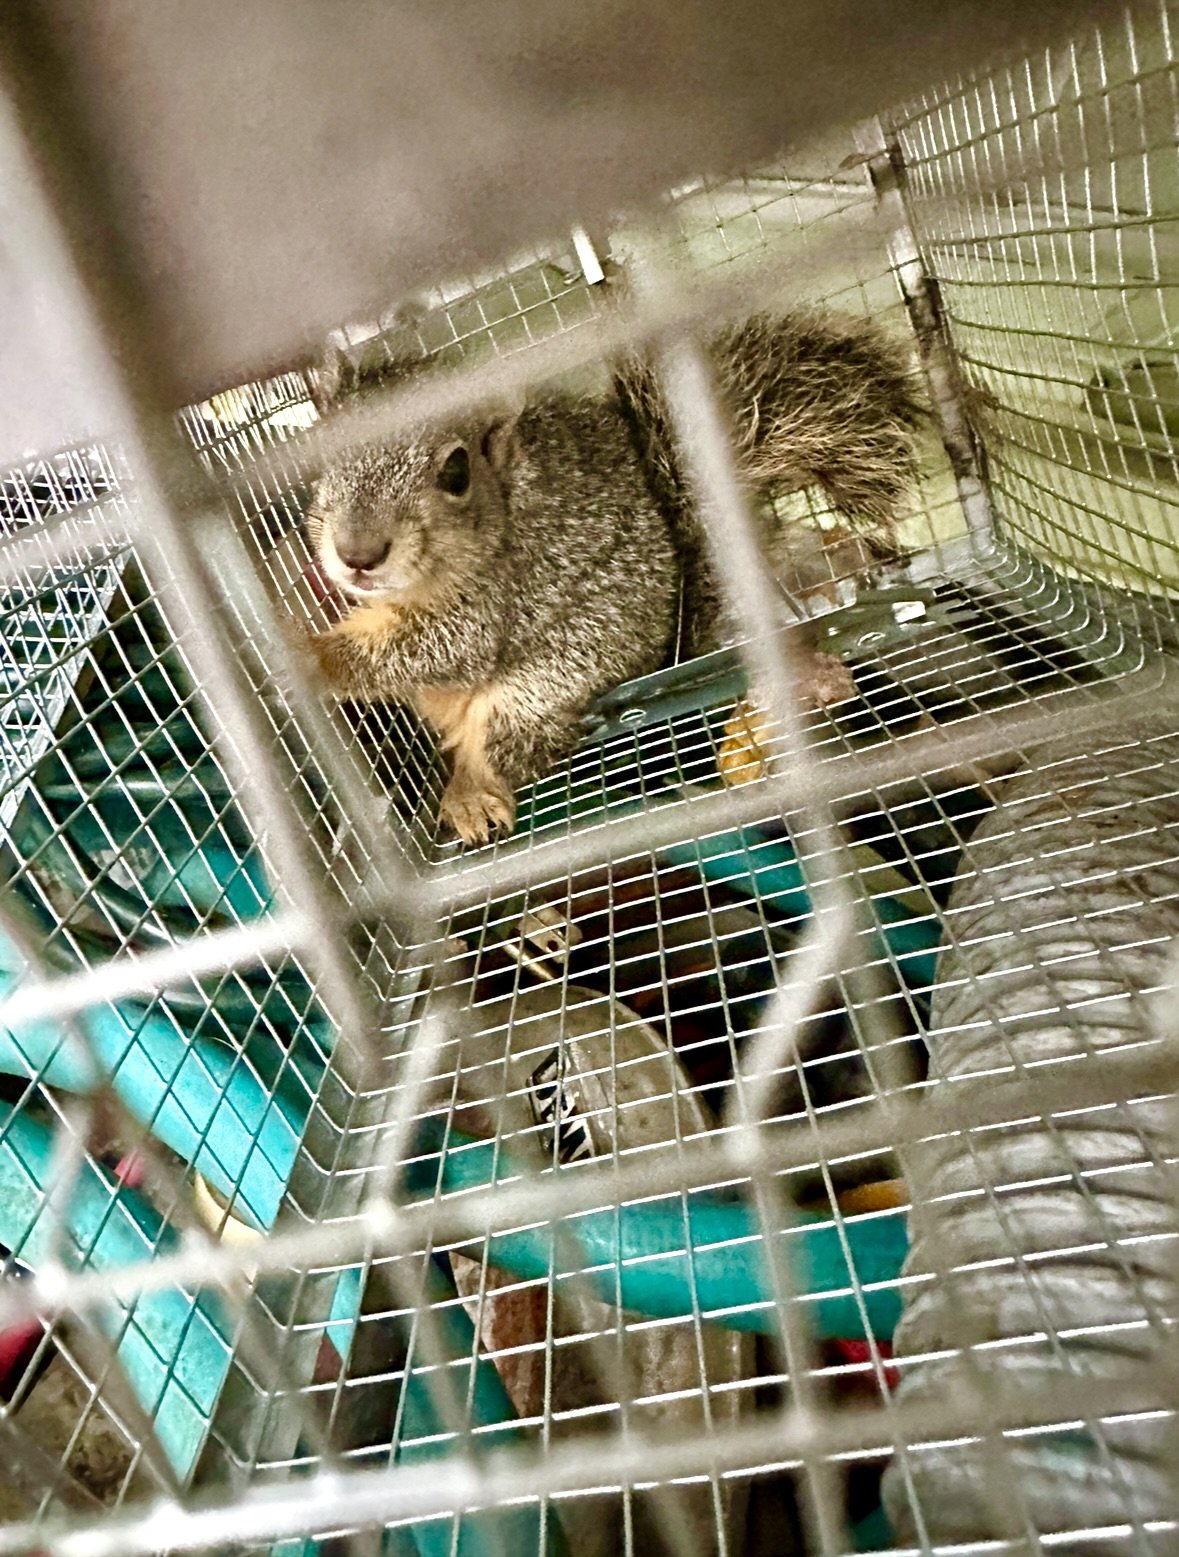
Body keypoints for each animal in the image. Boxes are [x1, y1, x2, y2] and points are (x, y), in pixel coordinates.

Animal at [299, 309, 924, 845]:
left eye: (456, 471)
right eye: (315, 464)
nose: (358, 553)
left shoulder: (501, 592)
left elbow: (438, 646)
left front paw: (307, 655)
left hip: (543, 688)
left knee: (507, 747)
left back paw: (470, 795)